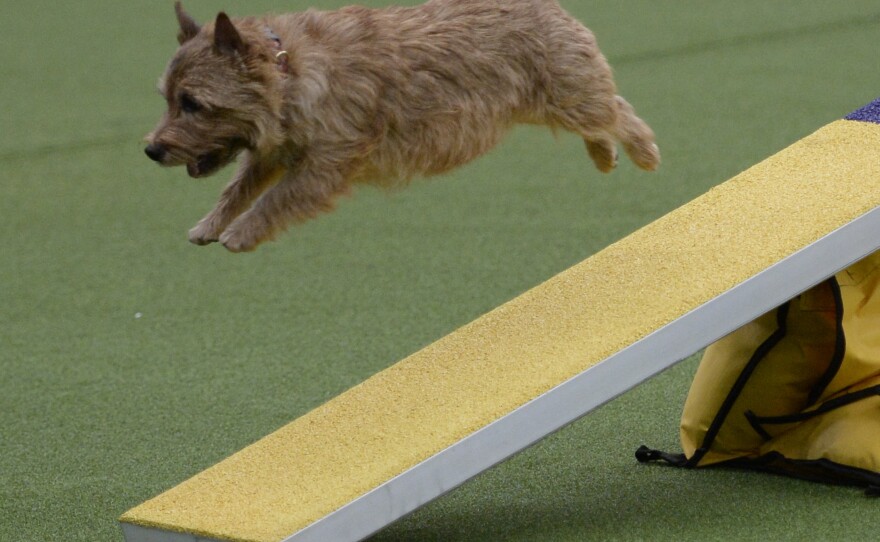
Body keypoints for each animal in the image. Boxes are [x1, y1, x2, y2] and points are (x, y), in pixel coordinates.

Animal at [144, 0, 656, 253]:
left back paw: (643, 150)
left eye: (193, 104)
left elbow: (275, 198)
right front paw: (209, 225)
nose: (151, 150)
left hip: (569, 96)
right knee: (602, 115)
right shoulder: (270, 154)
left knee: (617, 108)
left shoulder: (326, 165)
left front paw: (242, 232)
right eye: (167, 99)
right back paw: (603, 155)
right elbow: (235, 188)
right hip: (556, 103)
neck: (292, 71)